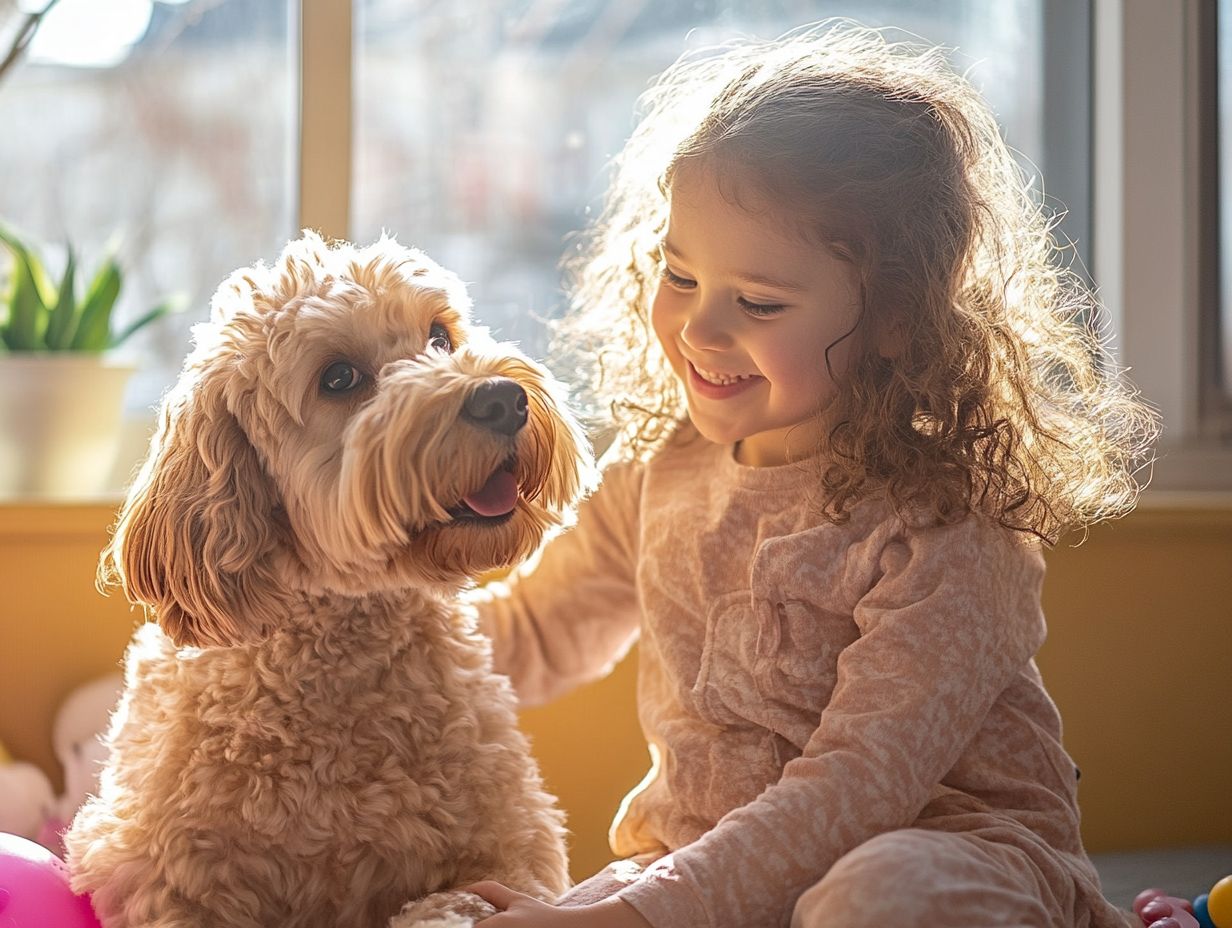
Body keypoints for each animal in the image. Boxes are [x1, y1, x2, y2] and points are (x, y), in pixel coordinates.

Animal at [64, 231, 593, 926]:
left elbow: (461, 898)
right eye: (339, 378)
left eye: (440, 336)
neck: (340, 649)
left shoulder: (515, 848)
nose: (502, 399)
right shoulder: (156, 873)